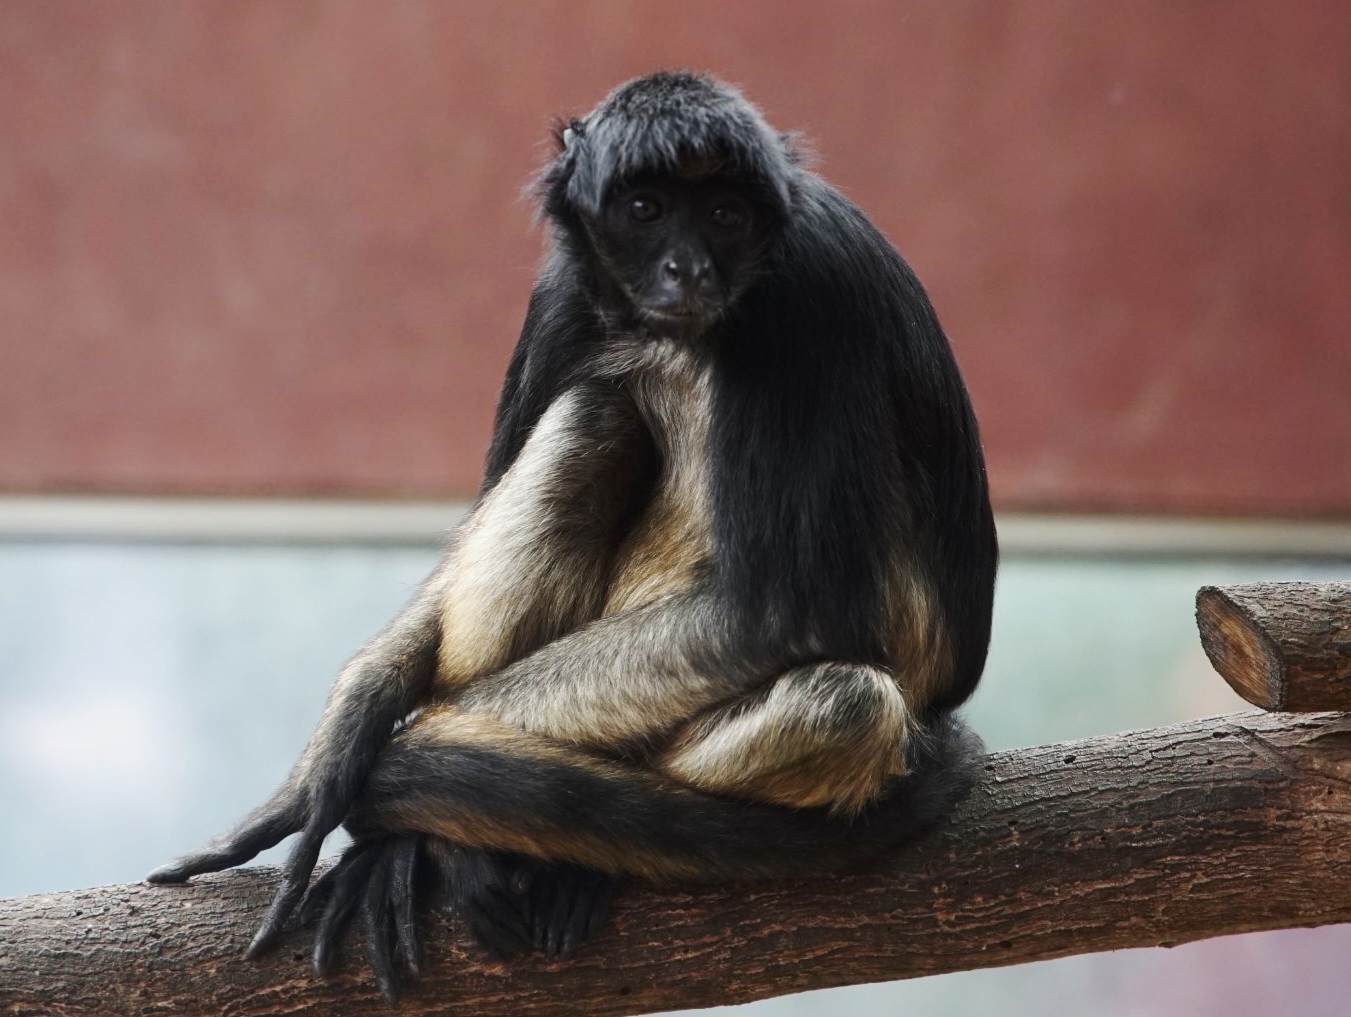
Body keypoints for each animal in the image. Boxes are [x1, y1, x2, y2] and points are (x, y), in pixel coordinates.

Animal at [148, 71, 998, 1003]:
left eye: (725, 216)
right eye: (644, 208)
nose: (688, 267)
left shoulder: (806, 289)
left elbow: (784, 612)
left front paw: (376, 798)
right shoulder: (561, 289)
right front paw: (343, 739)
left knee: (842, 700)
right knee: (598, 410)